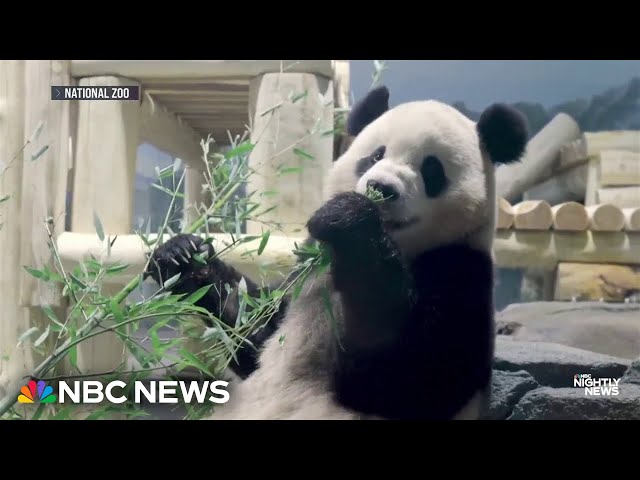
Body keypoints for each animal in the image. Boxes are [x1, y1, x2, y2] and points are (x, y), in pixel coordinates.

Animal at [148, 87, 528, 420]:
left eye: (431, 169)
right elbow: (255, 333)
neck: (400, 245)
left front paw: (350, 218)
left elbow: (411, 378)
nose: (381, 188)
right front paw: (184, 257)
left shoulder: (459, 269)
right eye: (375, 155)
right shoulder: (307, 273)